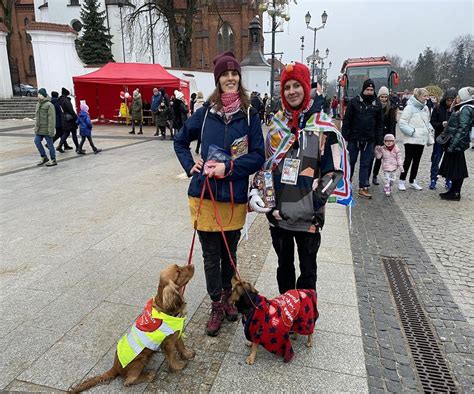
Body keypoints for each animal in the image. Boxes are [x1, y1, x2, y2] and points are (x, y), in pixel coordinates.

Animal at [70, 264, 194, 392]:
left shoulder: (176, 333)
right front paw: (178, 366)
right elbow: (172, 356)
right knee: (129, 381)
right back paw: (149, 376)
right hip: (140, 360)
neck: (165, 308)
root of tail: (115, 367)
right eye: (178, 271)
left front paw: (188, 354)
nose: (192, 265)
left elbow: (181, 345)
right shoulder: (168, 342)